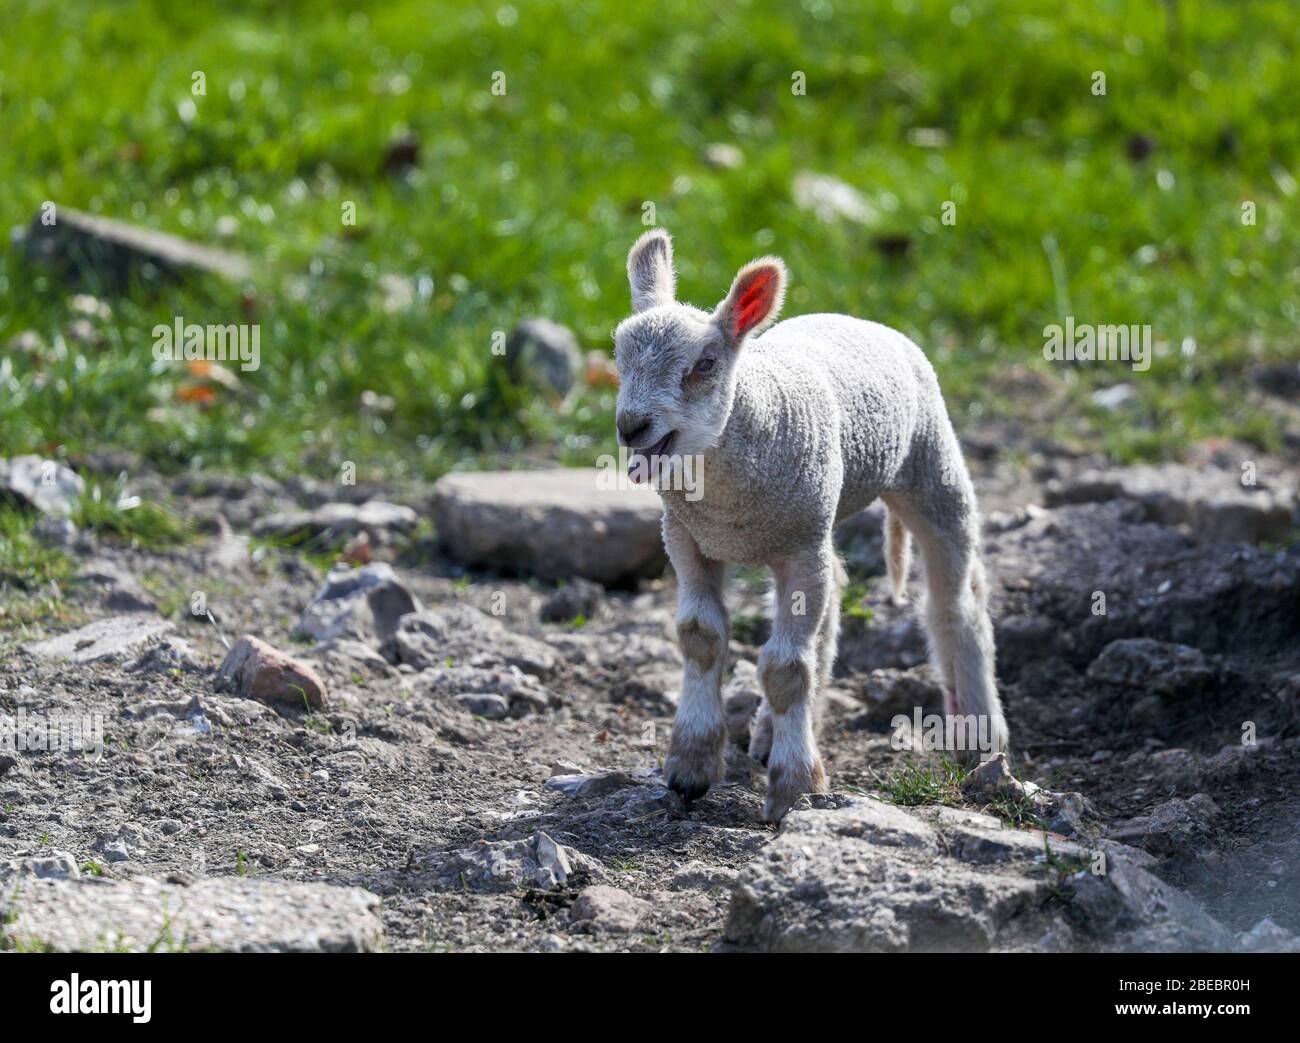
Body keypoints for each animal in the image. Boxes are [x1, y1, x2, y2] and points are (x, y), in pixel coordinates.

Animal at [613, 229, 1008, 822]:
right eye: (618, 357)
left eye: (704, 364)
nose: (630, 426)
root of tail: (857, 318)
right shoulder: (686, 538)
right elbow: (701, 638)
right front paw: (691, 765)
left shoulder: (799, 546)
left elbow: (785, 669)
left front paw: (795, 788)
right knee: (838, 587)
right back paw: (771, 733)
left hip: (931, 465)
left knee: (955, 604)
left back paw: (980, 736)